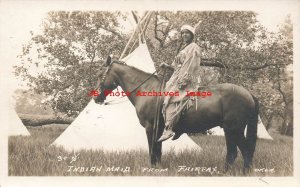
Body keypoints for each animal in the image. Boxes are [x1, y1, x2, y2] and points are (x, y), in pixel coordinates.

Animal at [94, 58, 258, 172]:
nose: (96, 97)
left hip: (234, 129)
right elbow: (158, 151)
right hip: (231, 130)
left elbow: (152, 150)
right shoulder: (158, 130)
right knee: (238, 152)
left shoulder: (150, 128)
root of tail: (248, 94)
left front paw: (152, 168)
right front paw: (158, 168)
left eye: (100, 74)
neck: (147, 89)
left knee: (241, 151)